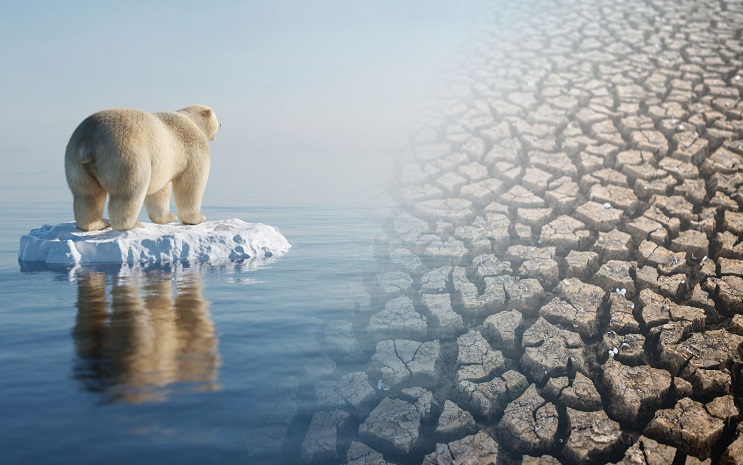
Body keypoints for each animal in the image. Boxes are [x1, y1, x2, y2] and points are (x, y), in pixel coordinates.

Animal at [66, 104, 221, 230]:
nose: (220, 124)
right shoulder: (193, 148)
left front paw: (167, 217)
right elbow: (191, 184)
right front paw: (197, 219)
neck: (191, 120)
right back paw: (132, 224)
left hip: (76, 163)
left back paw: (96, 224)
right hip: (127, 156)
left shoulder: (163, 163)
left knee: (87, 194)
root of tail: (88, 144)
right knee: (130, 191)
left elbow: (159, 191)